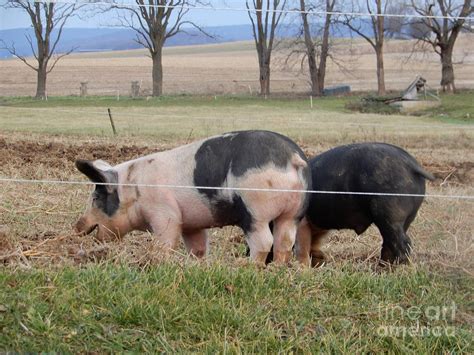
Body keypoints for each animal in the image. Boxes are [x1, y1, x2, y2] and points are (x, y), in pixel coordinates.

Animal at [74, 131, 312, 264]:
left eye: (95, 198)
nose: (77, 227)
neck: (133, 188)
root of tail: (292, 158)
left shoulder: (163, 212)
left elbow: (166, 239)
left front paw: (158, 260)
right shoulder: (192, 224)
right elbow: (197, 247)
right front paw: (196, 263)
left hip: (255, 210)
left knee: (264, 242)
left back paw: (248, 268)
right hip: (294, 211)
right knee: (284, 242)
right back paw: (278, 269)